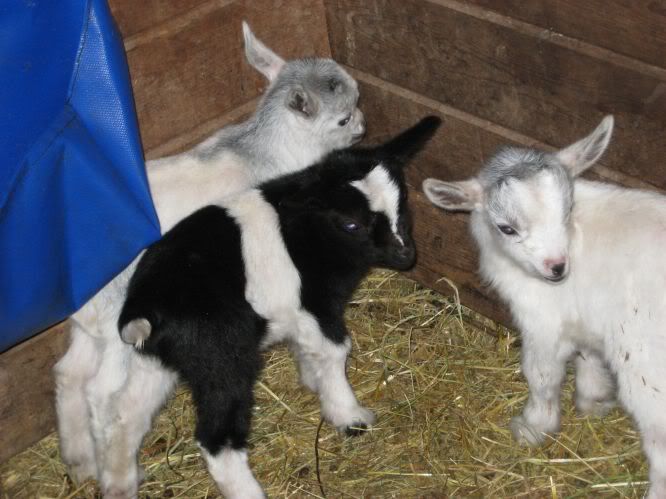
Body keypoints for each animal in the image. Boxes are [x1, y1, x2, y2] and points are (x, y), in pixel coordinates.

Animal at [117, 116, 441, 498]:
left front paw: (313, 380)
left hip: (159, 359)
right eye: (351, 224)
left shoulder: (301, 313)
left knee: (126, 415)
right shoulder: (314, 304)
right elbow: (334, 352)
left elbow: (309, 350)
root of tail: (144, 308)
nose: (406, 255)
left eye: (401, 203)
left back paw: (120, 482)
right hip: (221, 359)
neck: (311, 233)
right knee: (216, 439)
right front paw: (348, 414)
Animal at [423, 115, 666, 498]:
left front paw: (533, 426)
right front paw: (594, 400)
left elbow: (541, 375)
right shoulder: (584, 316)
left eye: (567, 211)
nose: (557, 268)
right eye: (506, 228)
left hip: (651, 378)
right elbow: (588, 357)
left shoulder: (542, 322)